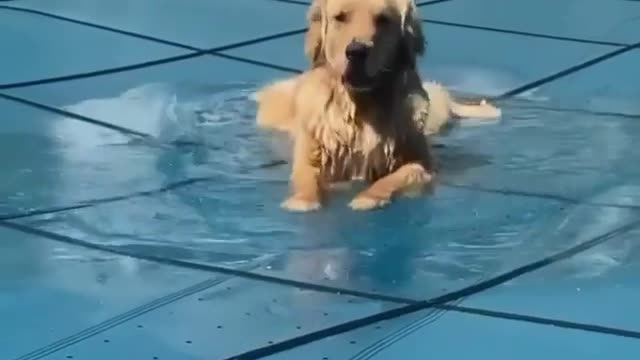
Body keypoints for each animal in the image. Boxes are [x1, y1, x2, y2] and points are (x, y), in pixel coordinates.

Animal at [258, 0, 498, 211]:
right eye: (340, 17)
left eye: (383, 19)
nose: (356, 51)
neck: (361, 108)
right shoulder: (312, 157)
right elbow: (306, 180)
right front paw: (302, 202)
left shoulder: (420, 162)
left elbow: (395, 177)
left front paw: (369, 198)